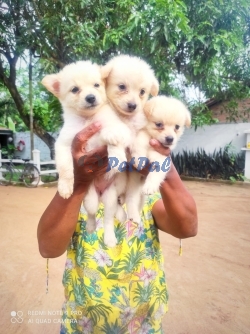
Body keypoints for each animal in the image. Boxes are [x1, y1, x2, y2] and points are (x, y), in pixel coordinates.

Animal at [41, 61, 132, 247]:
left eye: (96, 85)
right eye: (75, 89)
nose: (90, 97)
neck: (87, 119)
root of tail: (100, 192)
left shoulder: (121, 129)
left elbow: (113, 137)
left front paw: (116, 153)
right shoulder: (63, 144)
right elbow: (65, 168)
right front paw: (65, 187)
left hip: (110, 197)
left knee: (108, 218)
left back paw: (110, 238)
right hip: (89, 198)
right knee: (92, 212)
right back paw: (90, 227)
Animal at [126, 95, 190, 223]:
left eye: (177, 127)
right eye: (159, 124)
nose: (170, 139)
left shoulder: (161, 159)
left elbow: (155, 174)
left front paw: (150, 186)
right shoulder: (140, 135)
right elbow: (139, 142)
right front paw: (138, 159)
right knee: (131, 199)